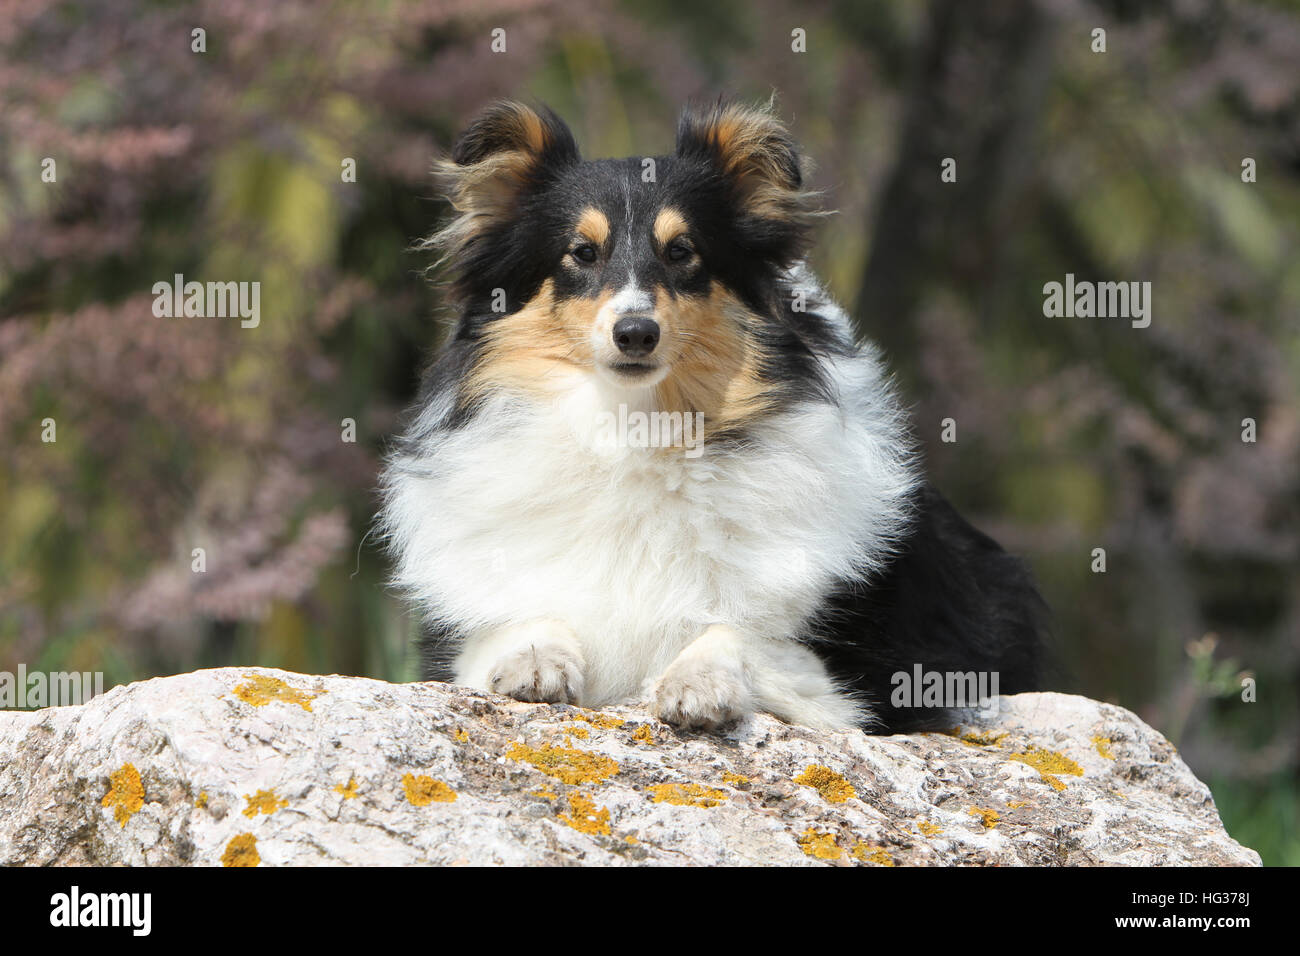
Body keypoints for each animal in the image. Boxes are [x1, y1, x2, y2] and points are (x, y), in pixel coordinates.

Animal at [379, 98, 1050, 733]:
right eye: (581, 253)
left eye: (682, 252)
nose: (635, 333)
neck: (634, 426)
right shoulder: (461, 634)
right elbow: (516, 620)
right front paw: (533, 660)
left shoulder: (871, 676)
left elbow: (740, 633)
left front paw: (695, 683)